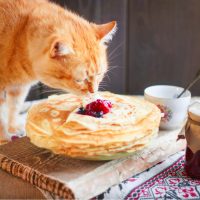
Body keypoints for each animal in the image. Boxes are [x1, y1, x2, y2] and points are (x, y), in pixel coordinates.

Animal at [0, 0, 115, 144]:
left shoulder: (19, 87)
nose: (93, 92)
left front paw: (13, 128)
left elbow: (14, 106)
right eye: (79, 80)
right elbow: (2, 116)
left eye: (99, 74)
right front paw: (4, 137)